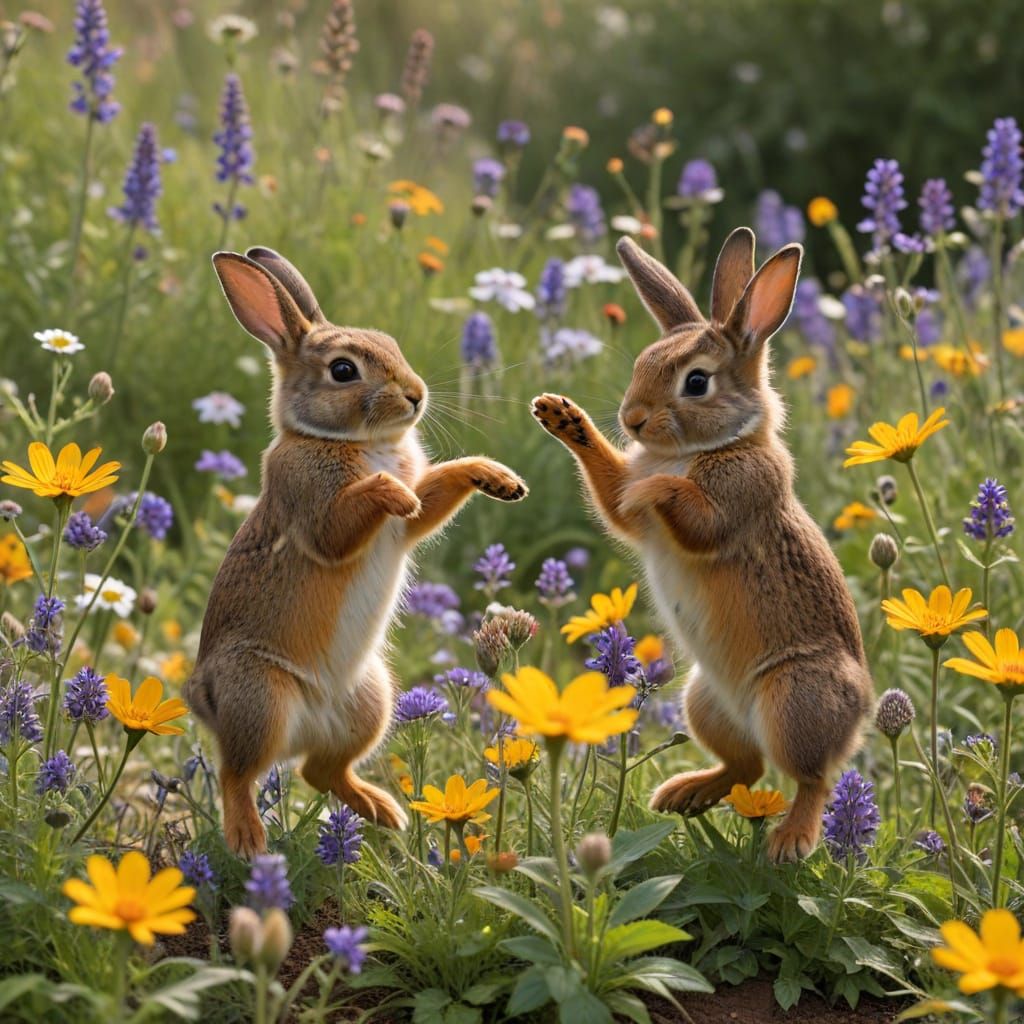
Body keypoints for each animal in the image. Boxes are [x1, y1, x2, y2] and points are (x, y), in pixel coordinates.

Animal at [185, 246, 528, 857]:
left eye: (390, 343)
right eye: (343, 371)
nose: (416, 394)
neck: (348, 441)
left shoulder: (406, 525)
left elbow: (432, 497)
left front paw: (496, 477)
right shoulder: (314, 506)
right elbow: (342, 524)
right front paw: (392, 491)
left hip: (371, 702)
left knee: (318, 771)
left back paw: (384, 811)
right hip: (260, 697)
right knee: (237, 774)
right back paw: (249, 841)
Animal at [530, 229, 872, 862]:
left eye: (696, 382)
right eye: (641, 364)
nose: (633, 419)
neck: (711, 445)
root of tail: (861, 716)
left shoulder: (734, 501)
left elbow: (689, 513)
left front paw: (653, 486)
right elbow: (615, 499)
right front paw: (560, 416)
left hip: (795, 699)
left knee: (812, 779)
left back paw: (789, 841)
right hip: (705, 702)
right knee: (746, 767)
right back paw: (682, 794)